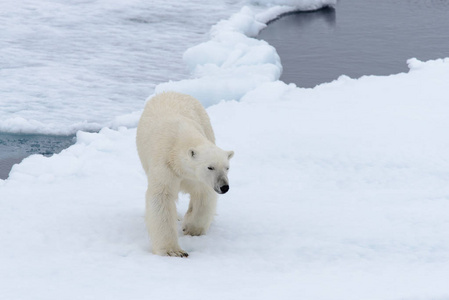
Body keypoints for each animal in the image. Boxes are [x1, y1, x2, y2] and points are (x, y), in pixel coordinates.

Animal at [136, 92, 234, 258]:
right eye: (210, 167)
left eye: (227, 167)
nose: (224, 187)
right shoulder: (165, 166)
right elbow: (162, 198)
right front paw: (173, 251)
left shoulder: (195, 177)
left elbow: (203, 195)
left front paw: (191, 229)